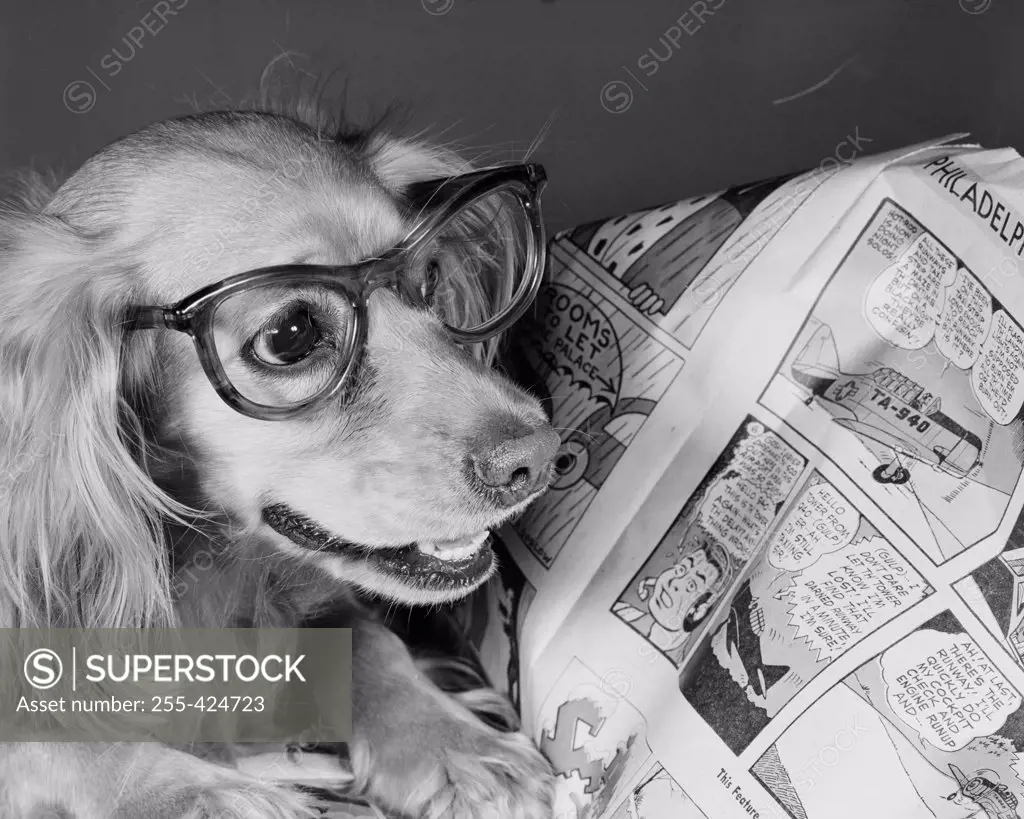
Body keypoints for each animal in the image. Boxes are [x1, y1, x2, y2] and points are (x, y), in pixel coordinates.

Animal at [0, 103, 561, 818]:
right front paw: (201, 794)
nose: (539, 459)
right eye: (290, 334)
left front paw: (456, 743)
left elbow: (371, 643)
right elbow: (63, 740)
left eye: (430, 279)